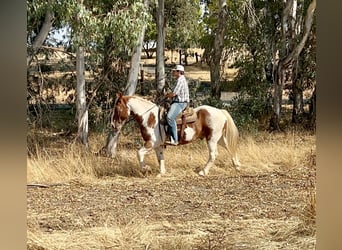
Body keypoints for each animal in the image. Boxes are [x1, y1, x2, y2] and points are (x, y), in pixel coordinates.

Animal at [112, 93, 240, 177]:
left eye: (117, 108)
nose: (113, 125)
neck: (150, 117)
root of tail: (220, 111)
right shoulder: (158, 145)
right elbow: (160, 158)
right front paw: (161, 173)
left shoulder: (151, 143)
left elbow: (139, 153)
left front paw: (146, 169)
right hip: (220, 138)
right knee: (230, 149)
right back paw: (237, 166)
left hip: (212, 139)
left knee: (213, 155)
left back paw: (203, 172)